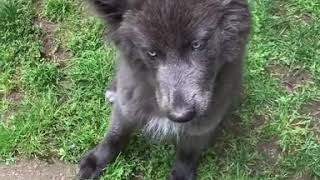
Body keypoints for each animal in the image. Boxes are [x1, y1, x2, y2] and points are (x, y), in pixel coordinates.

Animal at [79, 0, 251, 179]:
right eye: (152, 53)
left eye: (197, 44)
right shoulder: (128, 103)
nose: (180, 115)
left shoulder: (206, 120)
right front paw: (96, 161)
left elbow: (188, 152)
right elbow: (115, 134)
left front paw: (182, 174)